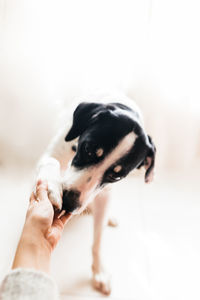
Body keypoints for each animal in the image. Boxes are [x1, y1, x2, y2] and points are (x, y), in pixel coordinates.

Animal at [35, 94, 155, 296]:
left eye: (116, 175)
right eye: (89, 149)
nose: (69, 203)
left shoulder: (105, 192)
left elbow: (98, 241)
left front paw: (99, 271)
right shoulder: (53, 152)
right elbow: (51, 162)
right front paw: (52, 186)